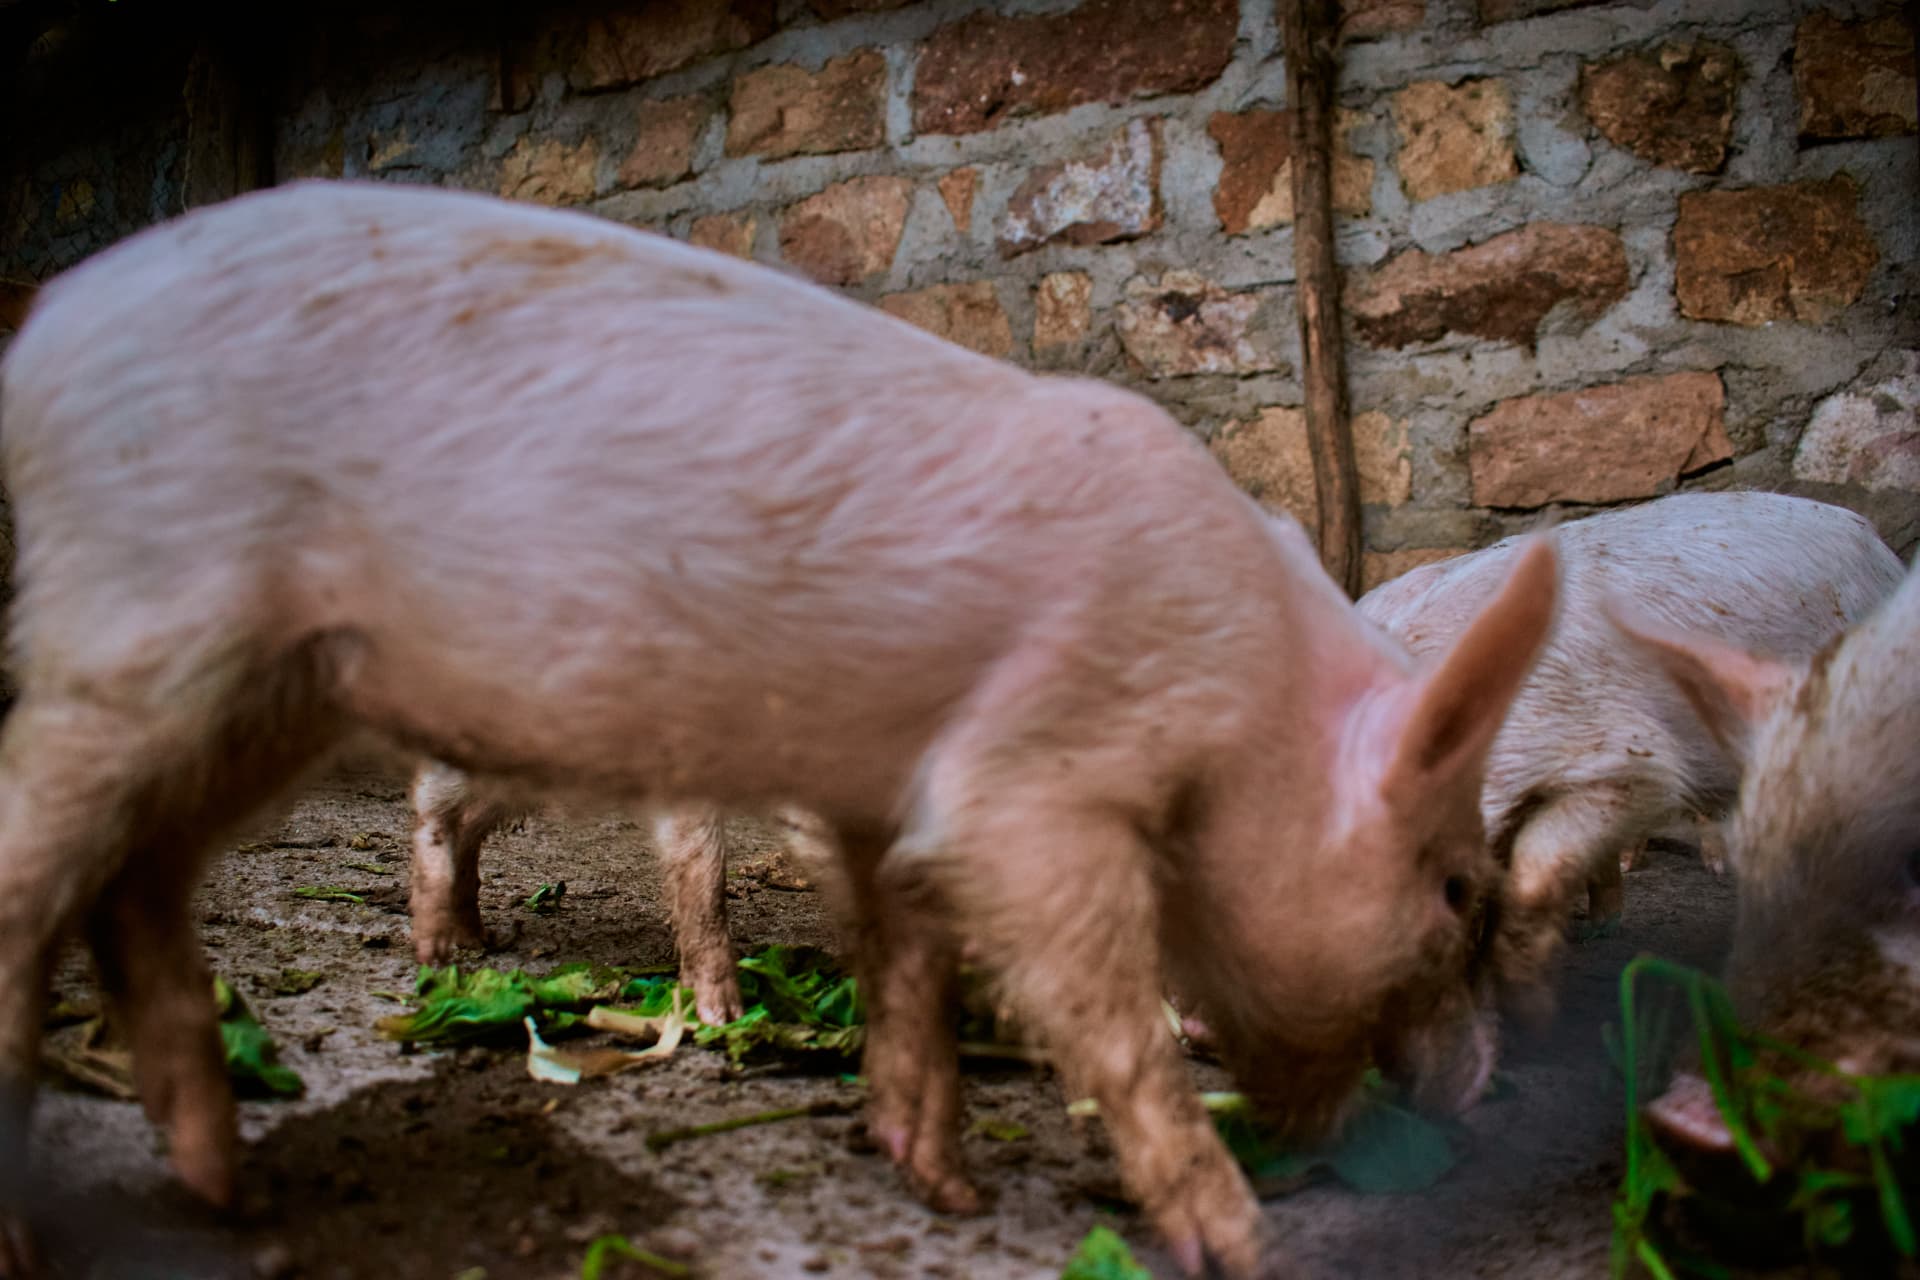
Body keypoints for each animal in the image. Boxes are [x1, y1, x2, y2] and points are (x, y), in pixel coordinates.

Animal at [409, 762, 835, 1024]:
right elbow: (704, 871)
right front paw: (724, 1017)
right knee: (431, 798)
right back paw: (436, 955)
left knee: (470, 823)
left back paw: (477, 939)